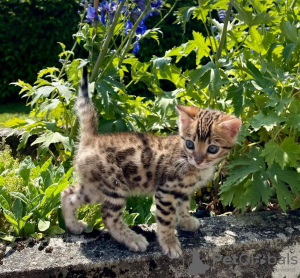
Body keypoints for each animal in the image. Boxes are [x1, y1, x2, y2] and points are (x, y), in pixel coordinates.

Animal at [61, 67, 241, 258]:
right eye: (190, 144)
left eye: (212, 148)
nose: (198, 160)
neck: (187, 159)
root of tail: (90, 140)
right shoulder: (166, 190)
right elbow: (166, 220)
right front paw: (170, 244)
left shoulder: (183, 191)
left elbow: (183, 206)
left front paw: (186, 221)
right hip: (115, 184)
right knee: (109, 217)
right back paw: (132, 238)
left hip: (96, 186)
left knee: (68, 193)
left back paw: (73, 225)